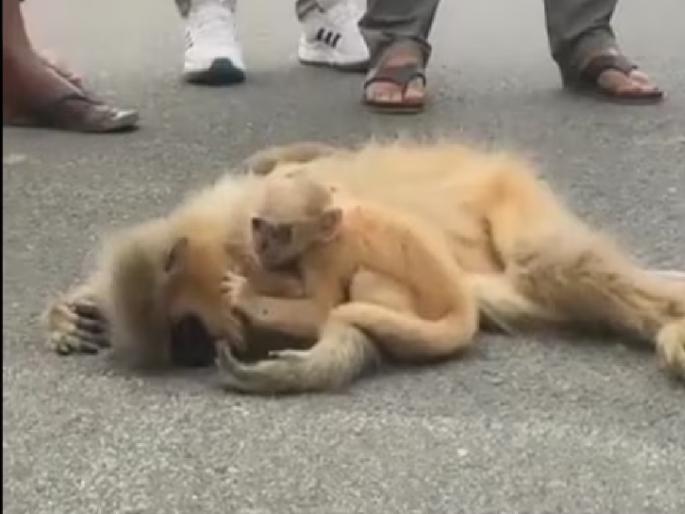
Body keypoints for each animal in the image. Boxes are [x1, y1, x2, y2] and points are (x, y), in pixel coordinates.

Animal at [44, 140, 685, 391]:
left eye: (191, 338)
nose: (215, 344)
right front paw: (72, 314)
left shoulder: (266, 238)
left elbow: (351, 297)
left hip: (506, 194)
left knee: (549, 262)